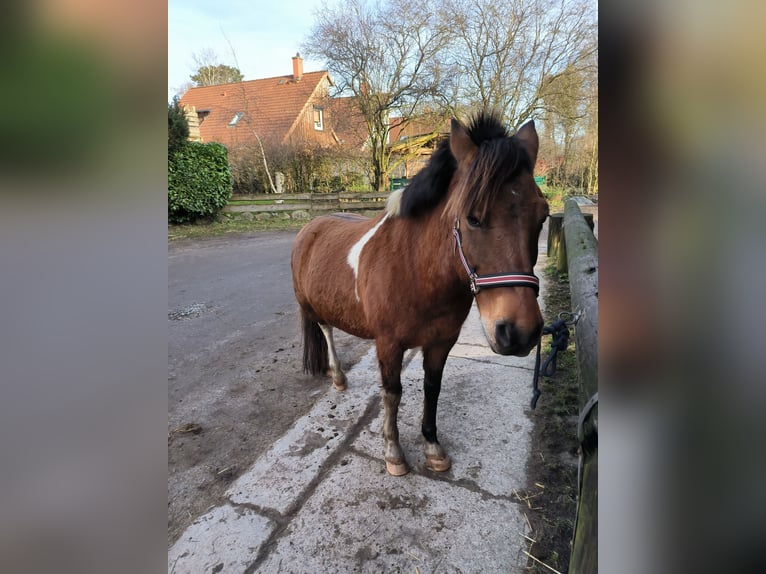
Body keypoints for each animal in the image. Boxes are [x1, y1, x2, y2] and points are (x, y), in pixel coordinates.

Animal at [290, 112, 549, 476]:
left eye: (542, 215)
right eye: (472, 218)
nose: (519, 332)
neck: (416, 270)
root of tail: (310, 227)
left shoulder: (441, 343)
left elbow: (432, 388)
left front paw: (432, 446)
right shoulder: (388, 344)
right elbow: (392, 393)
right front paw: (394, 452)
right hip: (311, 307)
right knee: (326, 330)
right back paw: (339, 377)